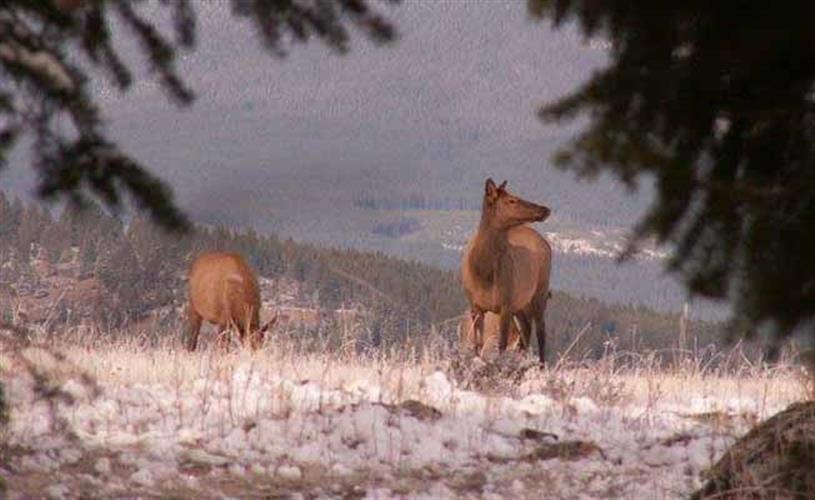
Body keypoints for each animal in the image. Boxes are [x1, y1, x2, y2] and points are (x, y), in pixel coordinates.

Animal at [461, 178, 552, 365]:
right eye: (511, 200)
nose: (545, 209)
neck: (483, 273)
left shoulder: (505, 305)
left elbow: (501, 345)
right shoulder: (475, 305)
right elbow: (478, 344)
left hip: (540, 292)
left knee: (541, 332)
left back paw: (541, 365)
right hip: (520, 303)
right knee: (526, 329)